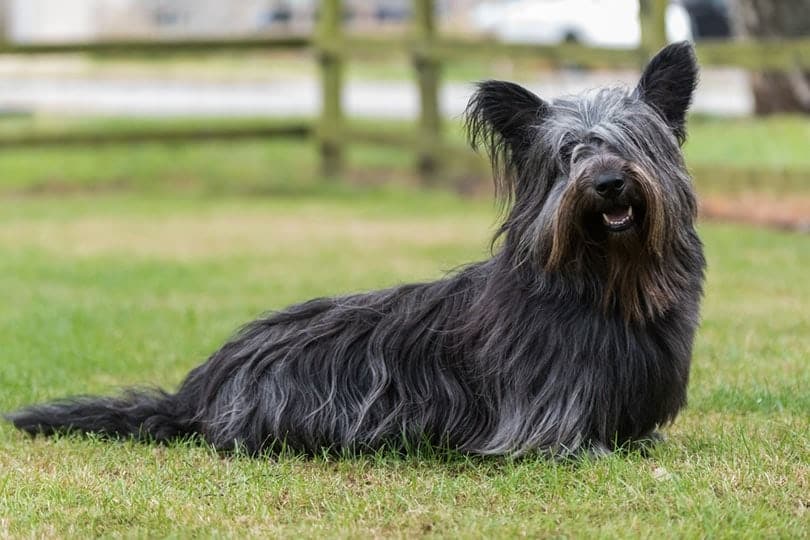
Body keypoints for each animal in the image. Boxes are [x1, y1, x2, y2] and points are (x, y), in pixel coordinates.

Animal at [6, 42, 700, 458]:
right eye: (567, 155)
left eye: (633, 142)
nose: (607, 183)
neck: (603, 282)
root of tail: (196, 392)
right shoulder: (540, 422)